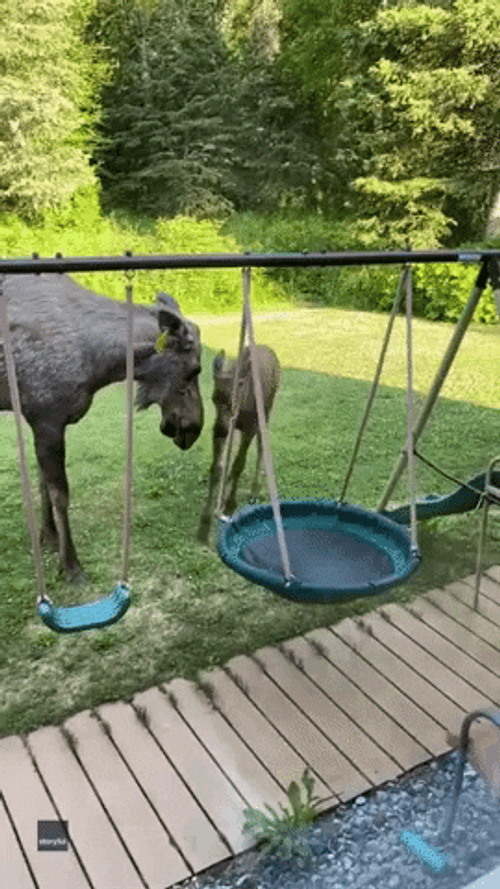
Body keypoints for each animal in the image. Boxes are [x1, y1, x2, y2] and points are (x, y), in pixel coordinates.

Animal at [0, 273, 204, 582]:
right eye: (194, 371)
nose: (194, 427)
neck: (99, 363)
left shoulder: (39, 420)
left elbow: (43, 484)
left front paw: (49, 537)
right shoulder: (47, 419)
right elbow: (60, 494)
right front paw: (71, 565)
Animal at [197, 344, 281, 544]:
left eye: (233, 401)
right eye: (213, 398)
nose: (221, 429)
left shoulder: (250, 427)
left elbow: (239, 464)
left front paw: (230, 504)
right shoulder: (223, 427)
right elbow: (217, 467)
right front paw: (204, 524)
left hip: (266, 411)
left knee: (261, 446)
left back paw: (254, 490)